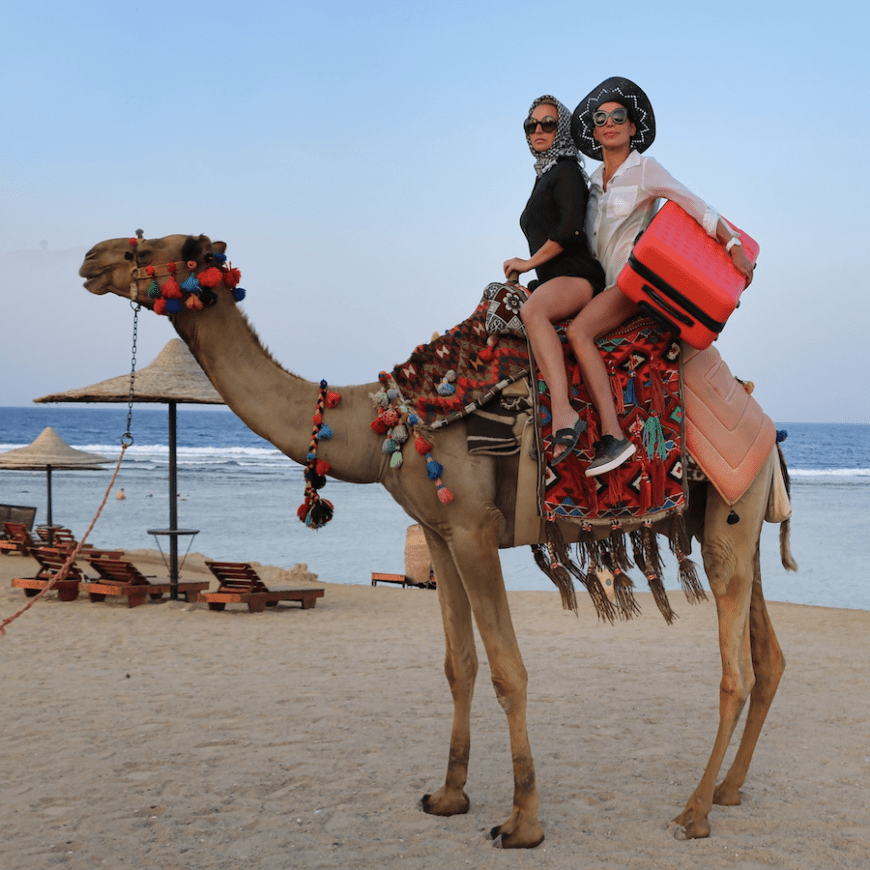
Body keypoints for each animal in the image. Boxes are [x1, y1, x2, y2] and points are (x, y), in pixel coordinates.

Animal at [80, 233, 796, 849]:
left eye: (153, 247)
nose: (91, 257)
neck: (382, 423)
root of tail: (767, 425)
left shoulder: (476, 530)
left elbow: (509, 670)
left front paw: (522, 824)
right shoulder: (438, 532)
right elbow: (461, 664)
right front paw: (449, 796)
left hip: (728, 521)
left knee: (734, 672)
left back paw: (694, 812)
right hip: (737, 527)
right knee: (769, 659)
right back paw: (729, 791)